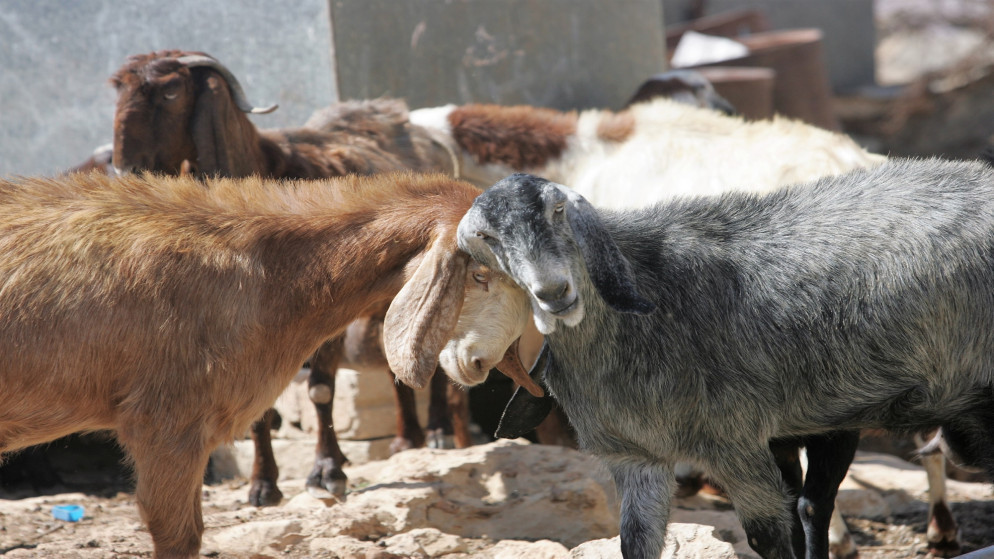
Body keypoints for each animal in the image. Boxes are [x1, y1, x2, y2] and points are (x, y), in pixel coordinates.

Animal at [110, 51, 466, 508]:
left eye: (172, 90)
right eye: (118, 89)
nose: (125, 167)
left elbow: (320, 390)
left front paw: (327, 473)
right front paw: (263, 485)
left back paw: (437, 433)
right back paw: (408, 439)